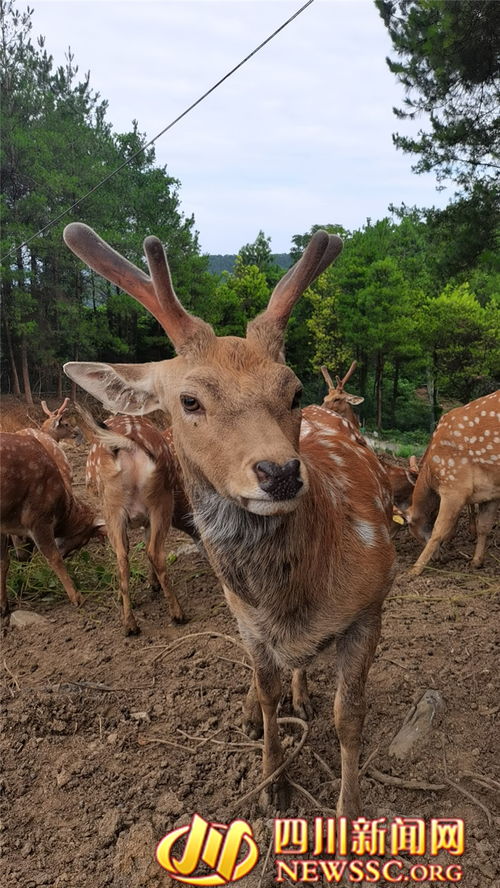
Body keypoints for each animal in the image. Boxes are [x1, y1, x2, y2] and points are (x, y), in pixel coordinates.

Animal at [0, 430, 104, 622]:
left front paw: (4, 606)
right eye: (83, 540)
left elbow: (3, 561)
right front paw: (77, 597)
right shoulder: (37, 517)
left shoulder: (4, 526)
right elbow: (53, 557)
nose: (66, 554)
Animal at [80, 410, 189, 635]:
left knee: (130, 556)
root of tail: (130, 446)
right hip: (156, 504)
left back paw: (171, 615)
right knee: (144, 553)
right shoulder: (146, 520)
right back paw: (134, 622)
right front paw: (153, 584)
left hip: (117, 506)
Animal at [406, 392, 500, 576]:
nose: (438, 558)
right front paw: (476, 562)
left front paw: (415, 569)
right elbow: (484, 525)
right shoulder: (490, 491)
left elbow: (439, 529)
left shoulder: (454, 483)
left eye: (410, 525)